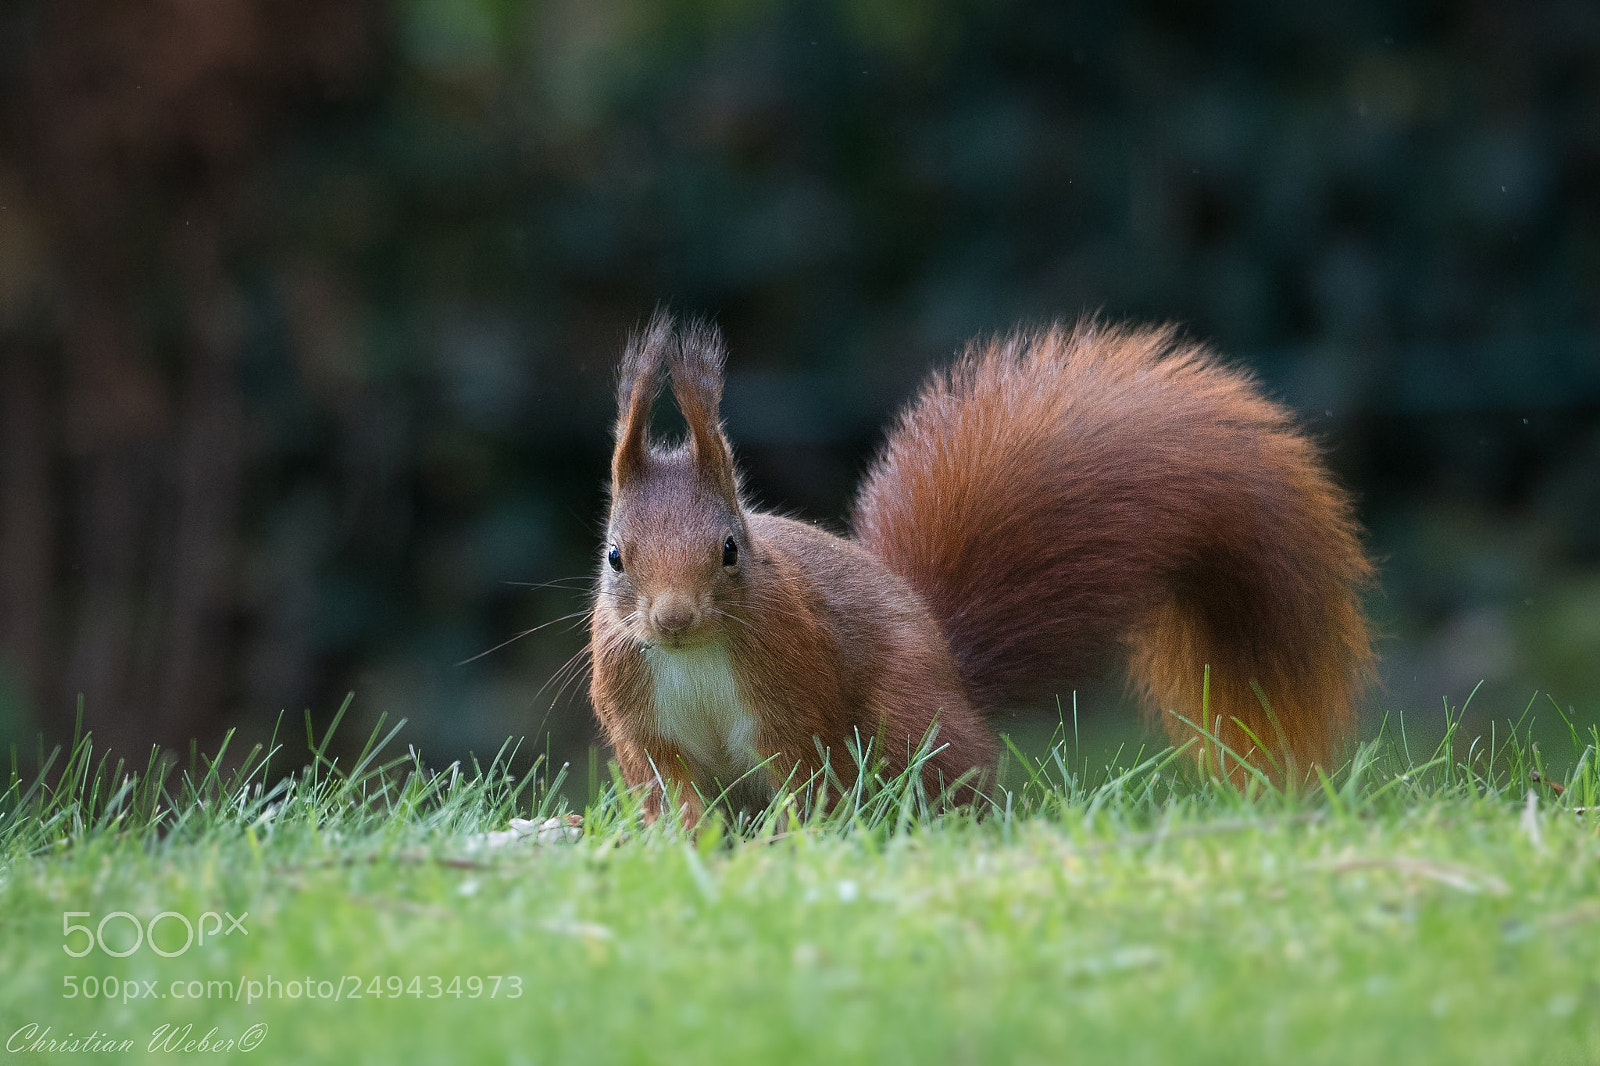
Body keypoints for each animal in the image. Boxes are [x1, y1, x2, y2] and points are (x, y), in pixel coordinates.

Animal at [588, 311, 1374, 822]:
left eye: (730, 548)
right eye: (615, 555)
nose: (674, 617)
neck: (693, 658)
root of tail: (951, 662)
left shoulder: (793, 690)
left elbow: (803, 783)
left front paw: (791, 849)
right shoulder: (643, 729)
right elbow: (675, 798)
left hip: (910, 715)